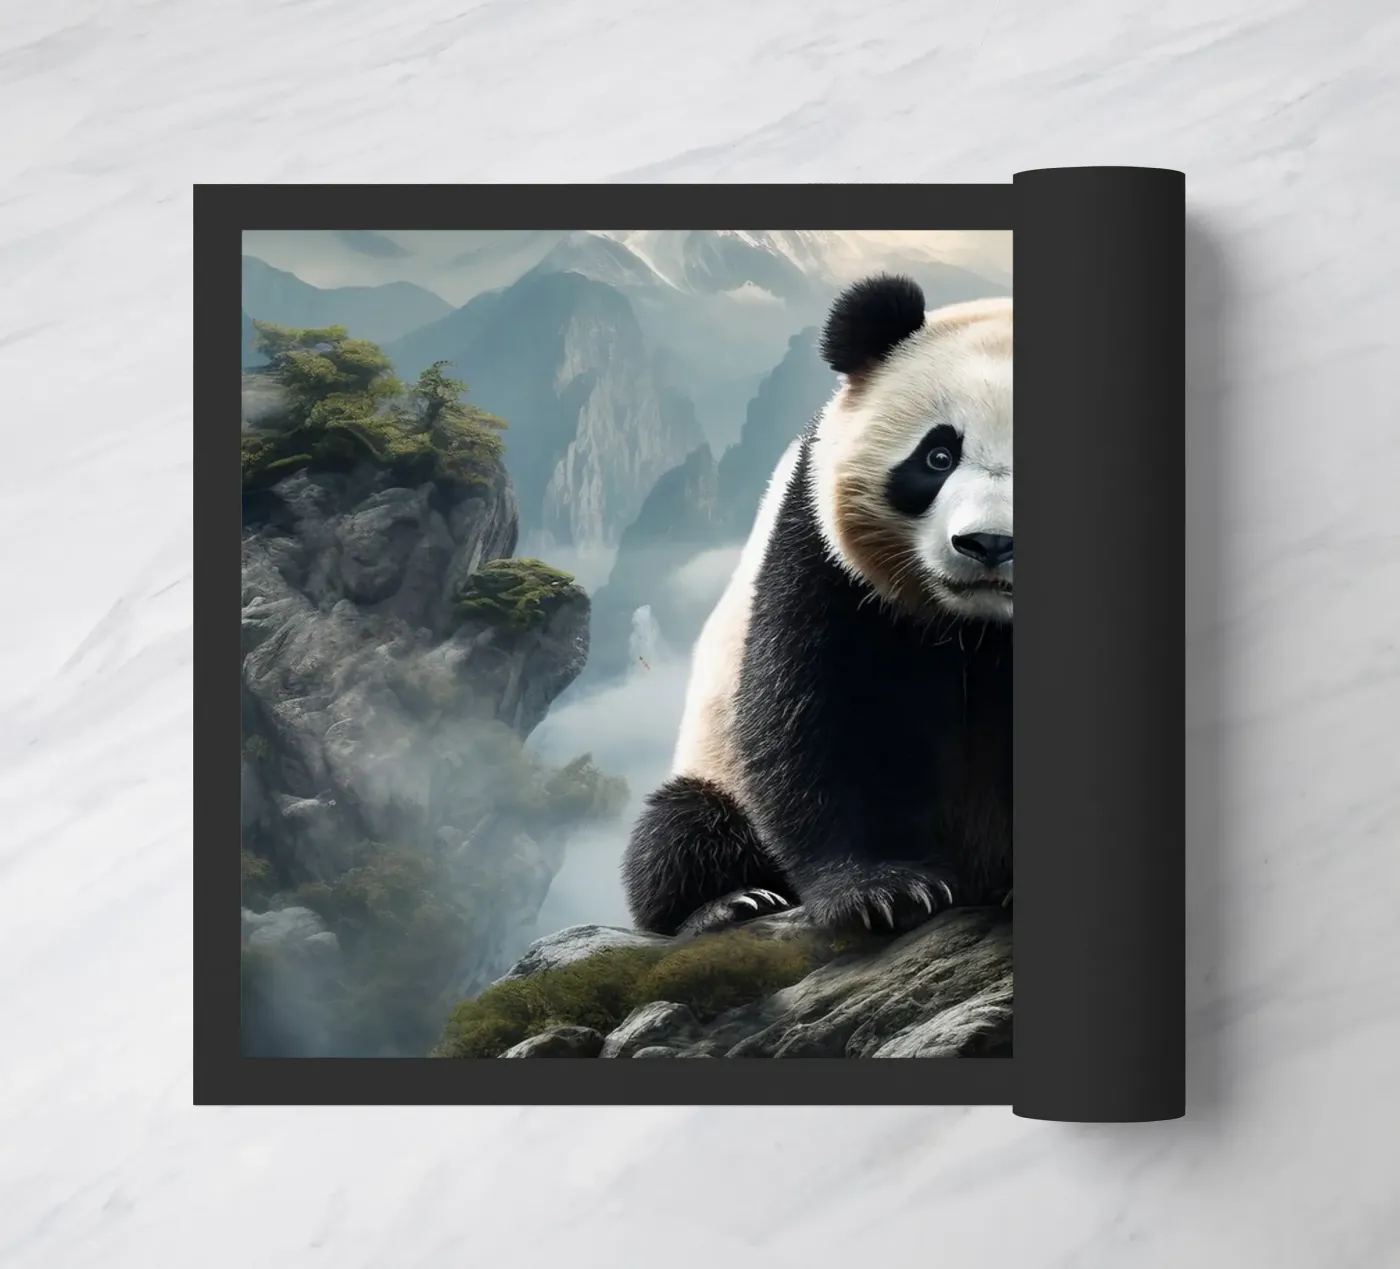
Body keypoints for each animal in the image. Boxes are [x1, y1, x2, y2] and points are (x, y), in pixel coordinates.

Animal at [621, 273, 1013, 939]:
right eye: (938, 457)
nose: (987, 544)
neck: (975, 628)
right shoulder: (826, 553)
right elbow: (819, 708)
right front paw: (881, 891)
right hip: (716, 769)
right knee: (681, 831)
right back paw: (726, 903)